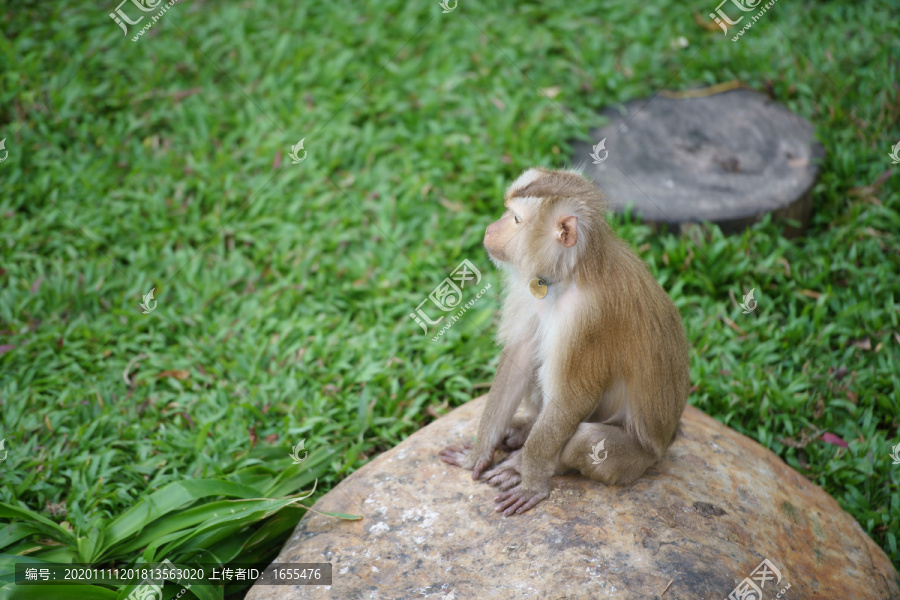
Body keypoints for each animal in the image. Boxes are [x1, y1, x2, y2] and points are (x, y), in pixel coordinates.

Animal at [438, 166, 688, 512]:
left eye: (516, 219)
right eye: (509, 214)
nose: (490, 229)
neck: (571, 273)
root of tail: (666, 440)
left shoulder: (588, 317)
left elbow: (573, 399)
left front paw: (530, 481)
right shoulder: (532, 287)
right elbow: (519, 356)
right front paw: (477, 455)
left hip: (636, 460)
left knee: (586, 438)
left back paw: (530, 464)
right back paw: (524, 429)